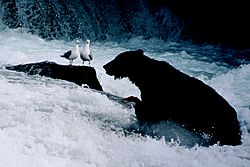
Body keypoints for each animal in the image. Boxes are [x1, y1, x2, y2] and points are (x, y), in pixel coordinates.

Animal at [102, 49, 241, 145]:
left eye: (118, 58)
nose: (105, 66)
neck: (144, 76)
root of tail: (234, 115)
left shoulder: (160, 94)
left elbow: (151, 110)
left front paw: (134, 101)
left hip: (216, 123)